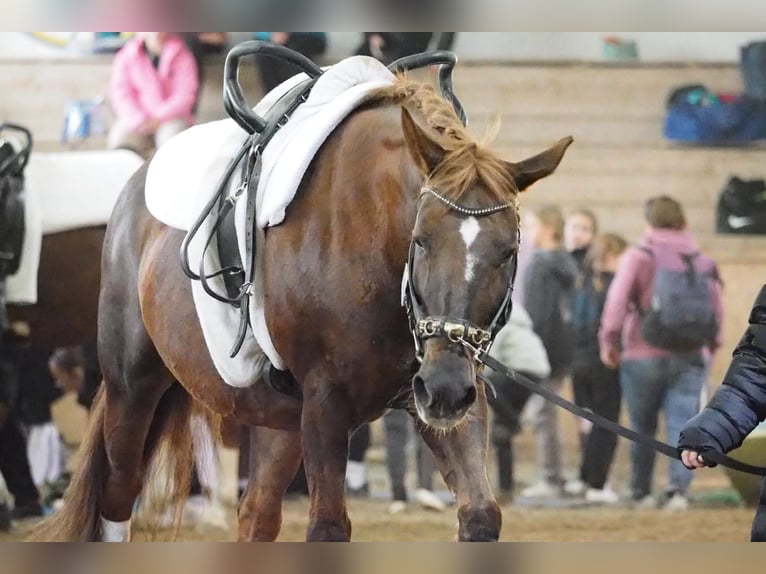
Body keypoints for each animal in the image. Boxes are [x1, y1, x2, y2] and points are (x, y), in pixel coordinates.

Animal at [36, 76, 572, 544]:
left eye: (509, 252)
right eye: (420, 241)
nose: (443, 389)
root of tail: (135, 180)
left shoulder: (452, 395)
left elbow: (480, 512)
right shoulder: (327, 403)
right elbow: (328, 527)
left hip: (279, 417)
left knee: (256, 515)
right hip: (133, 387)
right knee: (118, 496)